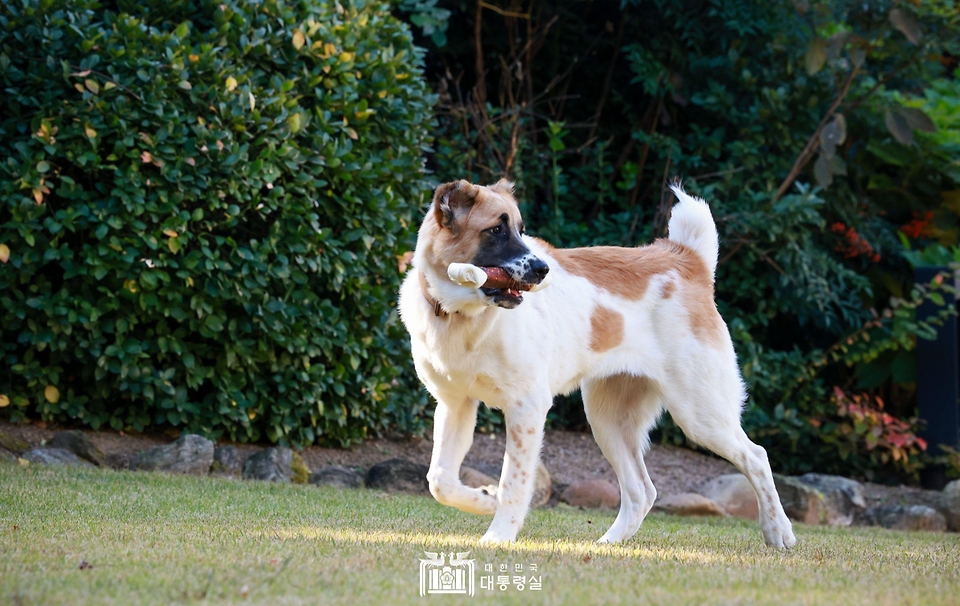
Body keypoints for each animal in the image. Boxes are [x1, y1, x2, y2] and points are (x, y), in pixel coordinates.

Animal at [398, 178, 796, 548]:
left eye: (521, 229)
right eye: (496, 230)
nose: (543, 270)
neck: (462, 317)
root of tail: (685, 258)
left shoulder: (527, 407)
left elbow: (514, 481)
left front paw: (499, 535)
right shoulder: (455, 406)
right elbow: (440, 480)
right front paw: (482, 500)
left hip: (701, 414)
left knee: (756, 457)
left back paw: (779, 532)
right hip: (608, 421)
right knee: (642, 491)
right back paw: (610, 543)